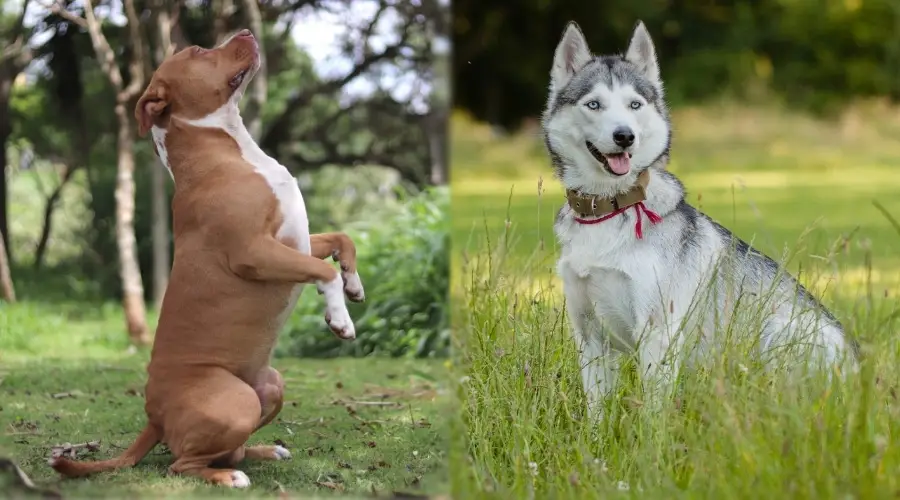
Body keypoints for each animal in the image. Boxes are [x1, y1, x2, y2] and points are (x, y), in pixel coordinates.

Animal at [48, 28, 366, 488]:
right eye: (198, 50)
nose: (247, 31)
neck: (228, 147)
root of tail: (155, 418)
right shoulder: (254, 252)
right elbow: (321, 270)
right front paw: (340, 318)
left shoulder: (295, 240)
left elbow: (342, 240)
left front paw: (354, 283)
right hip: (234, 401)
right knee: (182, 464)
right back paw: (228, 477)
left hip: (271, 385)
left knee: (228, 449)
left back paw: (262, 452)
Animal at [540, 20, 856, 422]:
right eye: (593, 104)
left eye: (634, 105)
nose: (625, 136)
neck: (610, 208)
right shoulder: (590, 335)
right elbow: (597, 412)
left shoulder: (657, 332)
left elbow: (653, 416)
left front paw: (649, 441)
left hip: (778, 328)